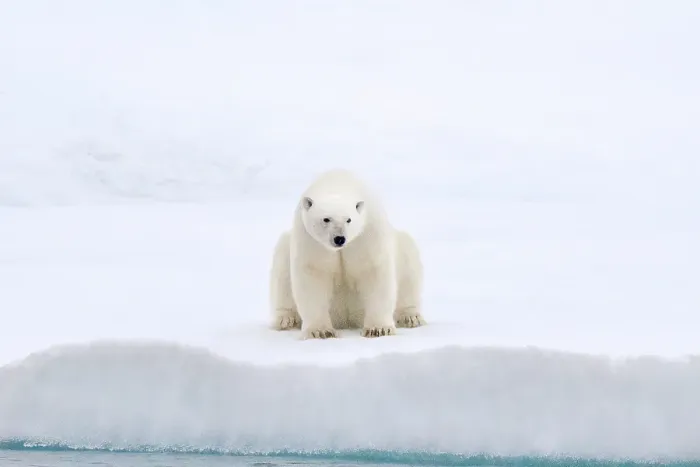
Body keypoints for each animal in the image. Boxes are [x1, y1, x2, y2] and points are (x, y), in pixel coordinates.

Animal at [269, 168, 425, 339]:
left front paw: (378, 329)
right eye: (326, 219)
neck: (339, 182)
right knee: (282, 267)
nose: (339, 238)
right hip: (286, 248)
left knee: (409, 260)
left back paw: (410, 317)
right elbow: (314, 274)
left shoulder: (367, 232)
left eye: (349, 220)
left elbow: (373, 271)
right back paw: (286, 320)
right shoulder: (311, 241)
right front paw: (320, 331)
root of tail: (346, 320)